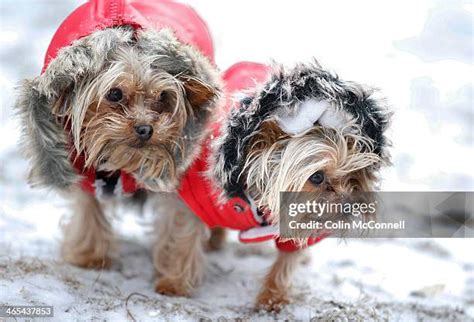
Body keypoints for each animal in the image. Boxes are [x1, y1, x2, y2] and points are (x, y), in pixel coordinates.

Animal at [154, 61, 390, 310]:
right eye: (316, 177)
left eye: (354, 176)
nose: (349, 206)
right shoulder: (196, 198)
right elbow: (184, 238)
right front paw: (174, 284)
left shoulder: (300, 217)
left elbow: (288, 259)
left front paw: (272, 297)